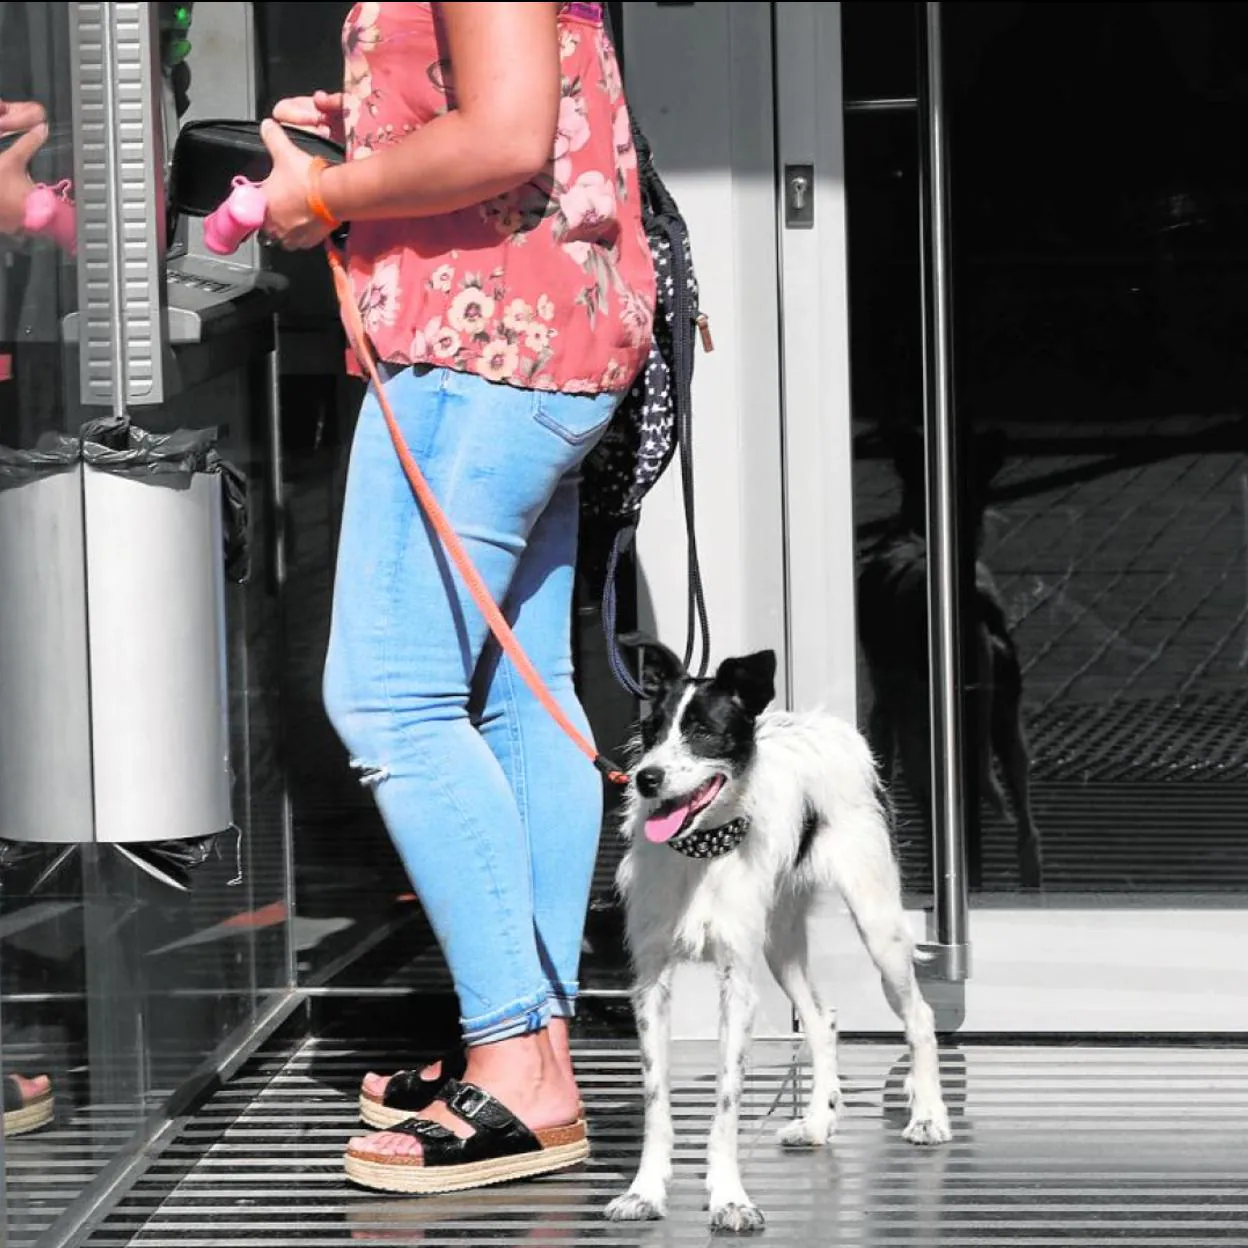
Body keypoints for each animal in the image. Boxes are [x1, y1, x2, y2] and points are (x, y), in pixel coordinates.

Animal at [604, 638, 943, 1233]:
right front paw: (644, 1191)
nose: (647, 778)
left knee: (920, 1017)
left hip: (877, 923)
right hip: (779, 940)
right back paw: (817, 1123)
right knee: (821, 1019)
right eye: (651, 730)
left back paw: (927, 1116)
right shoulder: (651, 984)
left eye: (703, 731)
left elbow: (727, 1099)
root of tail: (828, 726)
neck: (702, 852)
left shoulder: (737, 984)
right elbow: (655, 1096)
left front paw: (729, 1198)